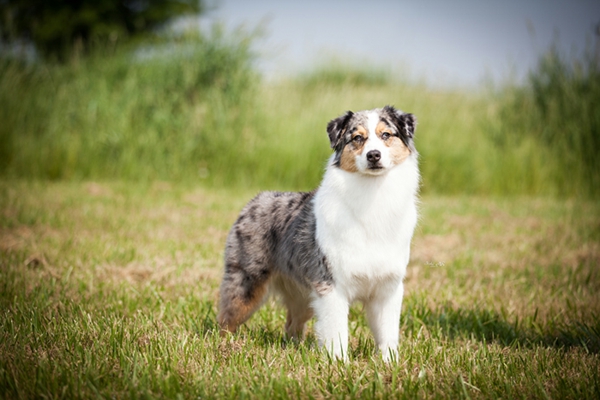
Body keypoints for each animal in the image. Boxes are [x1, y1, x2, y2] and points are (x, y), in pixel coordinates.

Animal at [218, 104, 420, 360]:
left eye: (386, 135)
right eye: (358, 138)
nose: (373, 155)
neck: (371, 194)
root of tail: (255, 200)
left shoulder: (387, 287)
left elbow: (388, 333)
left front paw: (389, 363)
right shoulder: (331, 284)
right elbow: (337, 332)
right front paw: (340, 363)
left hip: (303, 295)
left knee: (292, 325)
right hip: (246, 284)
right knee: (226, 319)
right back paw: (222, 346)